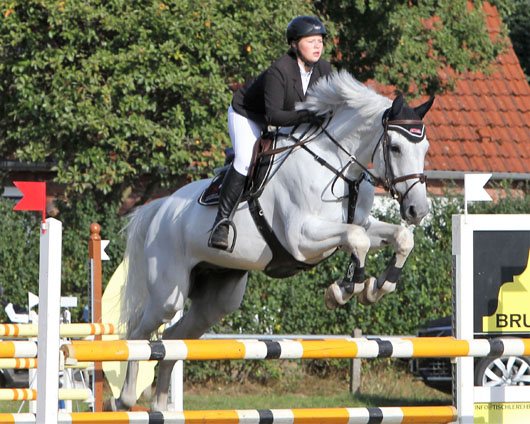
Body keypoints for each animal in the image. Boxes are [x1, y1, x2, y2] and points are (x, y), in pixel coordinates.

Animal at [108, 69, 434, 410]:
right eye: (395, 147)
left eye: (425, 148)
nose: (418, 210)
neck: (336, 165)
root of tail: (160, 207)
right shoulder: (301, 238)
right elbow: (358, 240)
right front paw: (345, 290)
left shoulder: (360, 224)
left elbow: (400, 238)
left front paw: (377, 287)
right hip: (167, 293)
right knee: (139, 333)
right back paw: (124, 400)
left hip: (217, 299)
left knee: (172, 340)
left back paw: (159, 406)